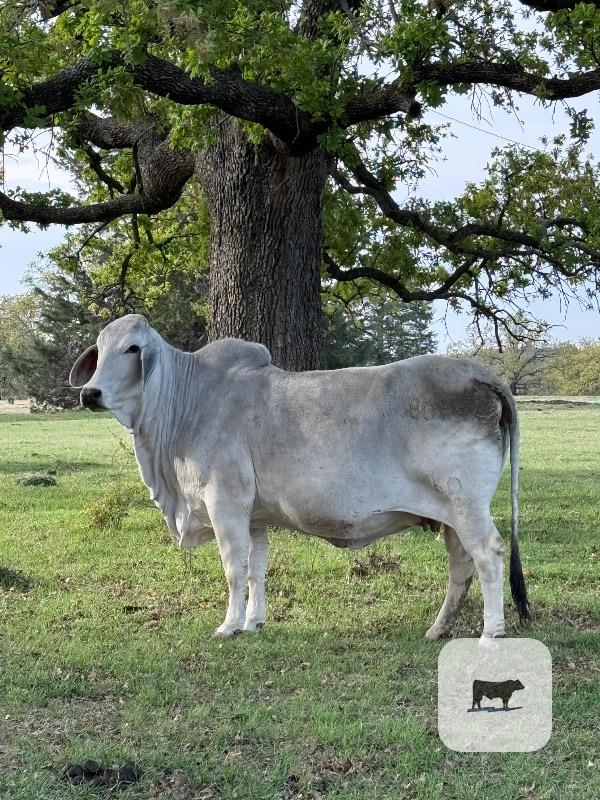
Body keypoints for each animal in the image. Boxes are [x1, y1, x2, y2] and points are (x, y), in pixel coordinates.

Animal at [69, 314, 530, 639]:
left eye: (132, 348)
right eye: (99, 349)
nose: (90, 393)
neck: (190, 402)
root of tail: (476, 371)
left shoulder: (225, 502)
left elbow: (233, 568)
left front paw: (228, 625)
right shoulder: (254, 516)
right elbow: (255, 569)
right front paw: (253, 622)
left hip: (466, 505)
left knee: (488, 554)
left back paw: (491, 632)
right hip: (451, 514)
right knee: (461, 565)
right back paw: (438, 628)